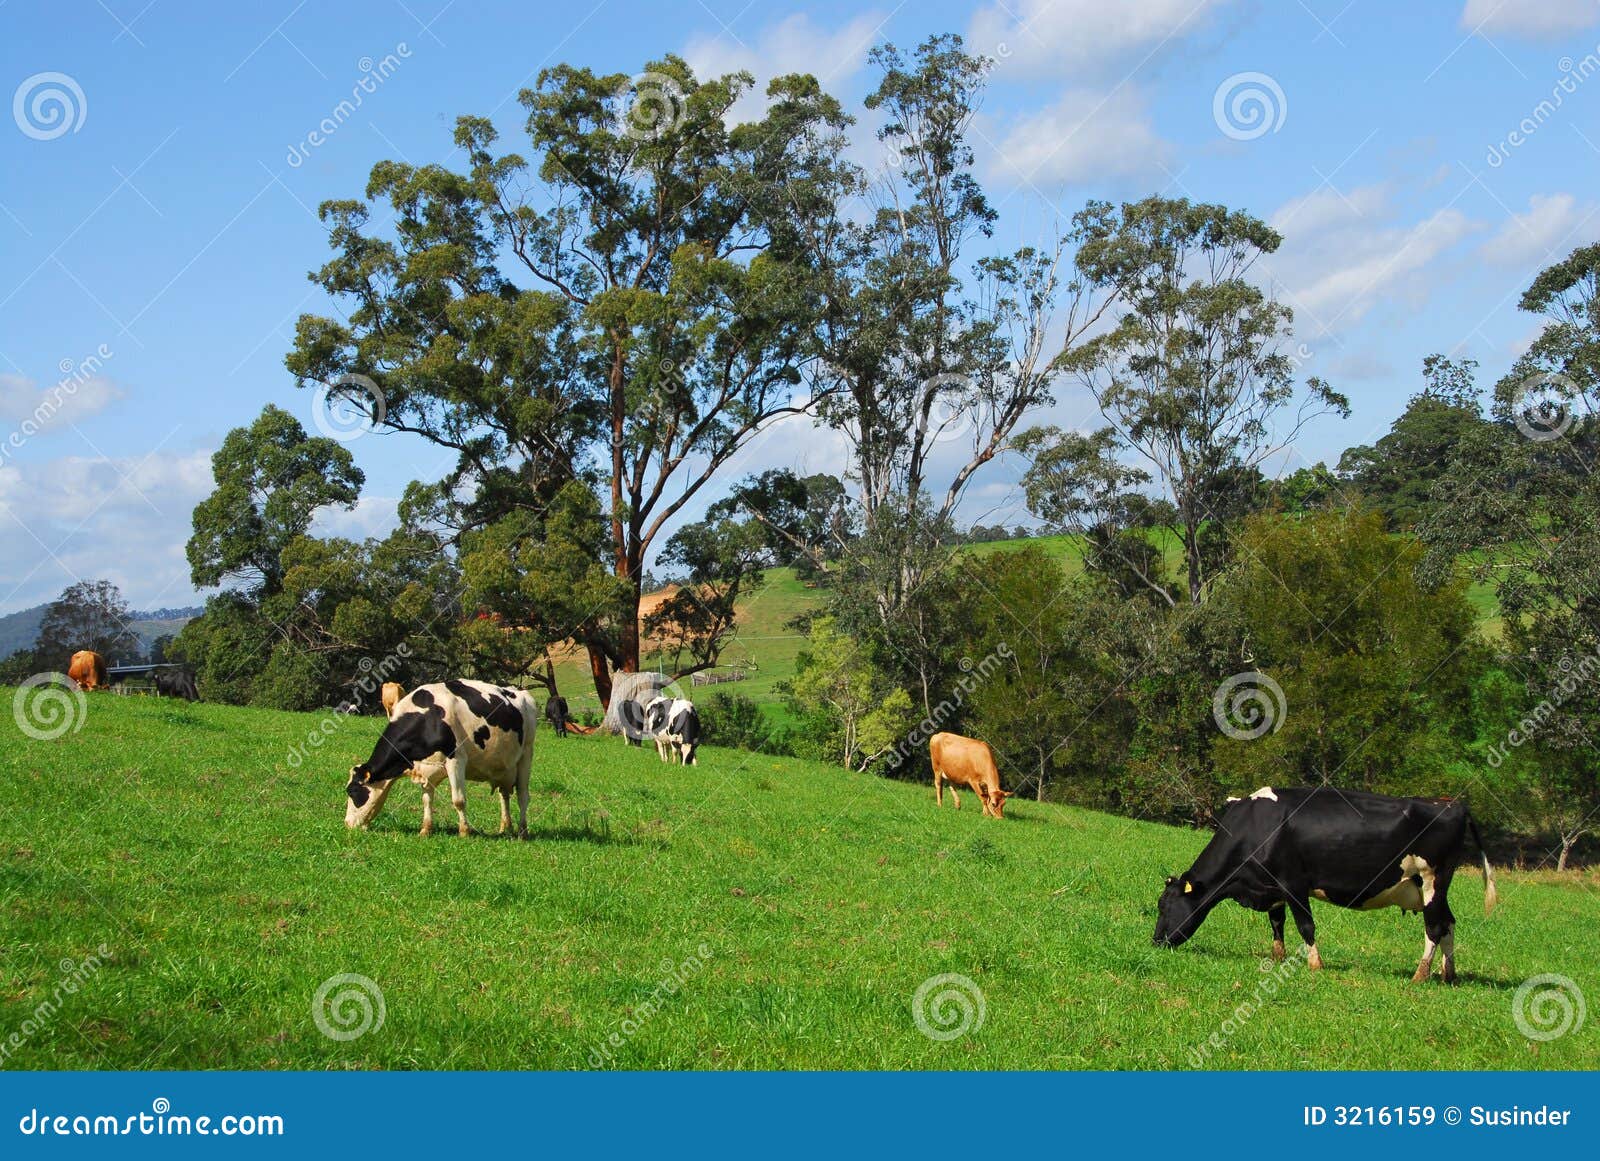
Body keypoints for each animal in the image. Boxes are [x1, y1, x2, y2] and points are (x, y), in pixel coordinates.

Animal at [345, 680, 537, 839]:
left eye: (351, 791)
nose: (346, 824)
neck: (429, 717)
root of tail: (521, 693)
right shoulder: (426, 768)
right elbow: (427, 799)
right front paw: (425, 830)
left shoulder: (456, 760)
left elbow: (458, 800)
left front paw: (464, 832)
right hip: (503, 768)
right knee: (504, 795)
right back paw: (505, 827)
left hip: (526, 755)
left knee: (523, 796)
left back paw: (522, 831)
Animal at [1153, 786, 1498, 982]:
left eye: (1164, 906)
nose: (1156, 941)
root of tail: (1454, 805)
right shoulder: (1271, 887)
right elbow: (1276, 922)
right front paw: (1277, 957)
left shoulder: (1293, 883)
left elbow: (1305, 925)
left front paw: (1314, 964)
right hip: (1434, 888)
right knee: (1448, 923)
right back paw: (1448, 974)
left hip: (1431, 879)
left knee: (1434, 928)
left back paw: (1420, 974)